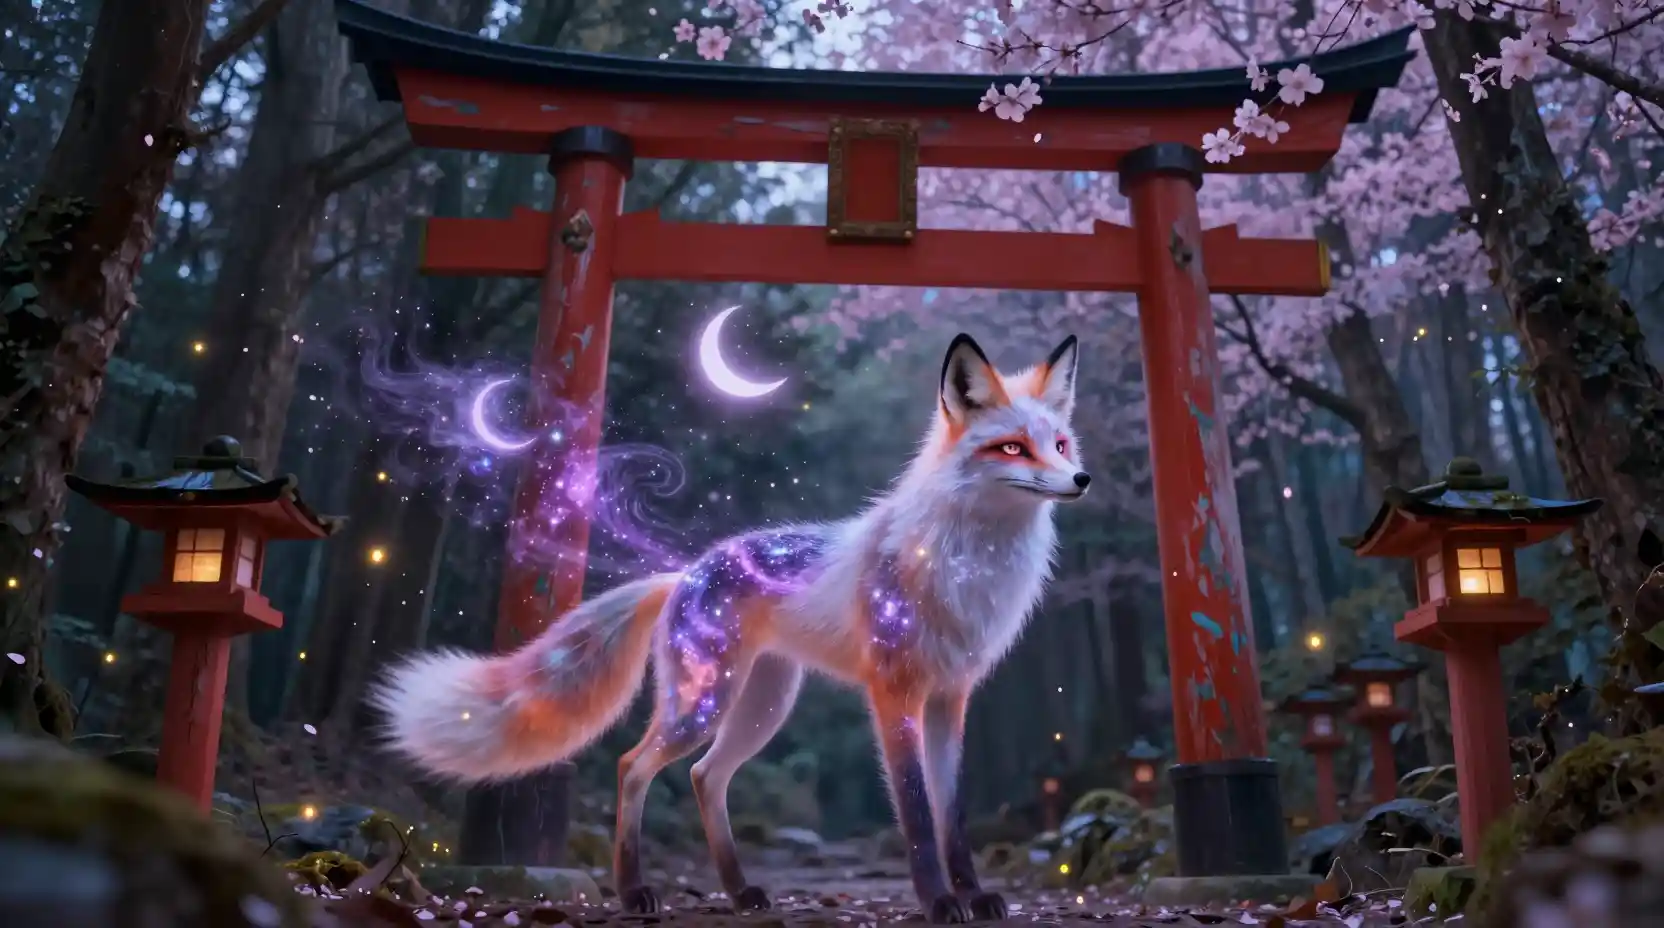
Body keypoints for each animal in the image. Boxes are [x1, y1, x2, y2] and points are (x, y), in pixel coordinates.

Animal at [371, 332, 1089, 924]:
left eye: (1059, 444)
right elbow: (916, 814)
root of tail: (684, 572)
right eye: (1012, 447)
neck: (968, 568)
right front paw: (938, 902)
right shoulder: (894, 694)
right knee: (635, 766)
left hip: (760, 707)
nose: (1081, 479)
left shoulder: (949, 698)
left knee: (704, 777)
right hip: (703, 704)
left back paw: (740, 891)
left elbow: (953, 817)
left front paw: (973, 895)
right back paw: (634, 892)